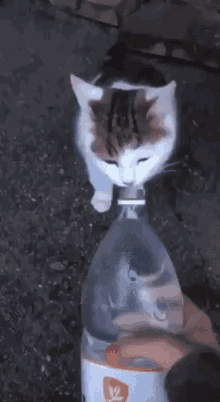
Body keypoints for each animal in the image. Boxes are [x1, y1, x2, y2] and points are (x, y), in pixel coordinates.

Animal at [70, 53, 177, 212]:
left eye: (143, 159)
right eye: (110, 161)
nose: (128, 182)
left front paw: (134, 192)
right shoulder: (86, 145)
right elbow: (98, 173)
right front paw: (102, 197)